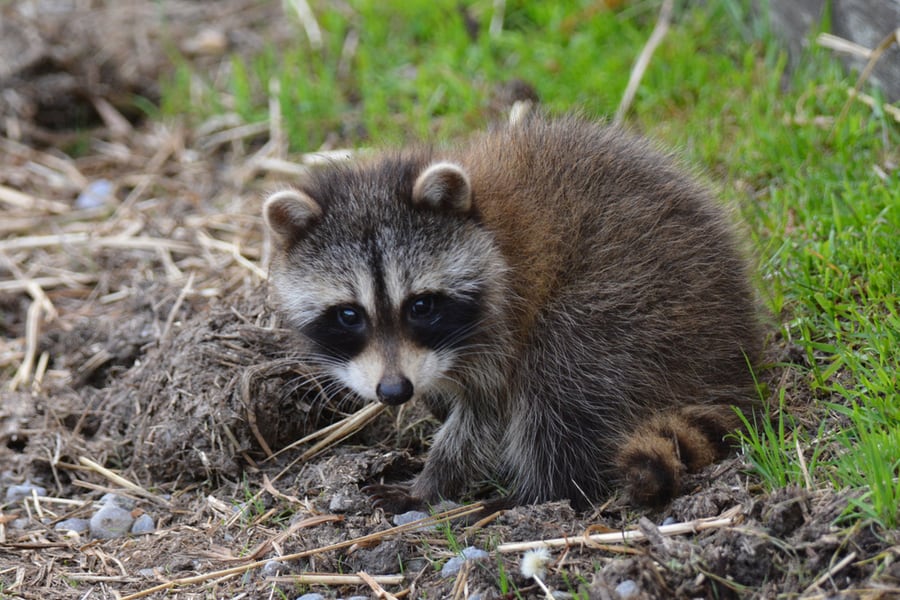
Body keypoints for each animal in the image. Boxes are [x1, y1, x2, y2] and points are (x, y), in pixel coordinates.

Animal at [264, 112, 764, 510]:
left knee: (563, 373)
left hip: (637, 301)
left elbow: (486, 416)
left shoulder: (504, 318)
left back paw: (539, 493)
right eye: (350, 315)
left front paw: (434, 479)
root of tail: (736, 352)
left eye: (421, 306)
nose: (394, 392)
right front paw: (434, 408)